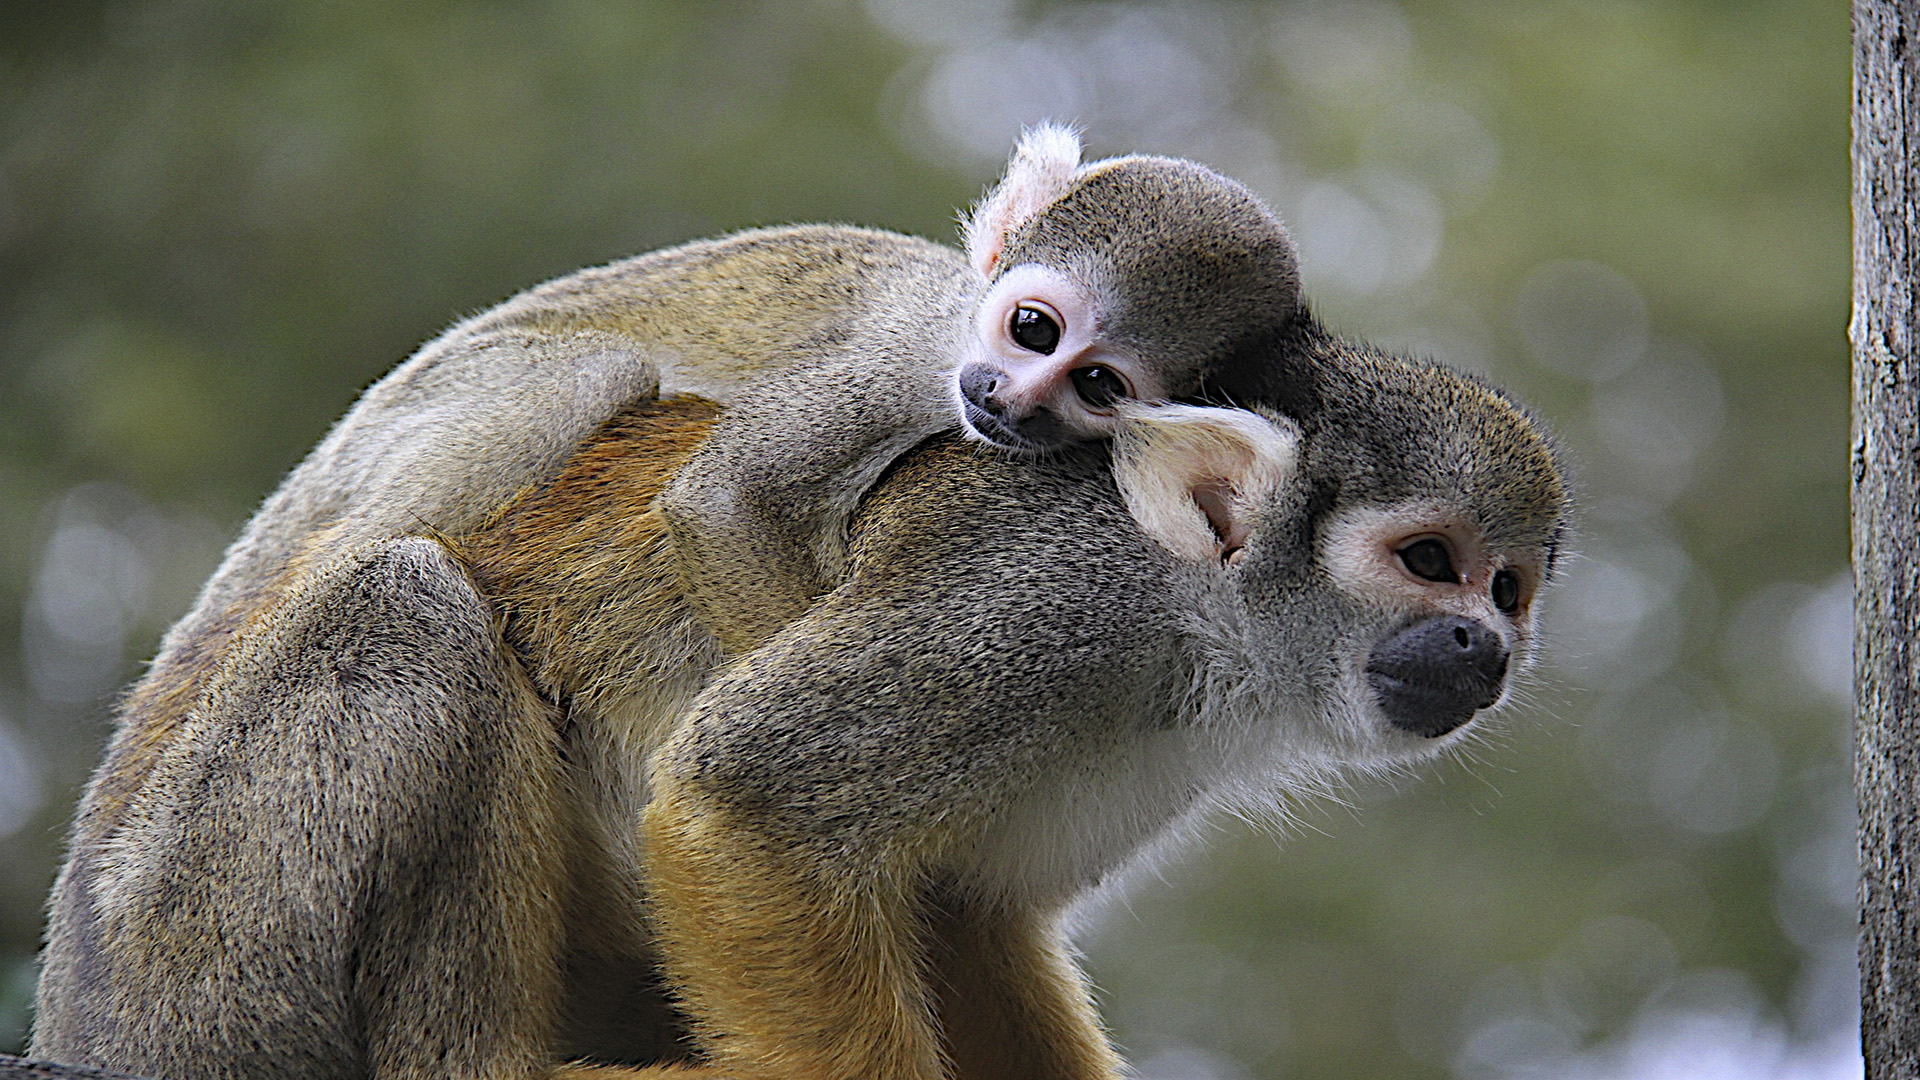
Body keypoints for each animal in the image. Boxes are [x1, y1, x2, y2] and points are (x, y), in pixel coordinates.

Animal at [26, 125, 1559, 1076]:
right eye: (1427, 562)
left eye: (1510, 588)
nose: (1482, 647)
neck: (1191, 632)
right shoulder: (1025, 610)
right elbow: (743, 791)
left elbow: (963, 913)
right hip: (205, 937)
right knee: (406, 601)